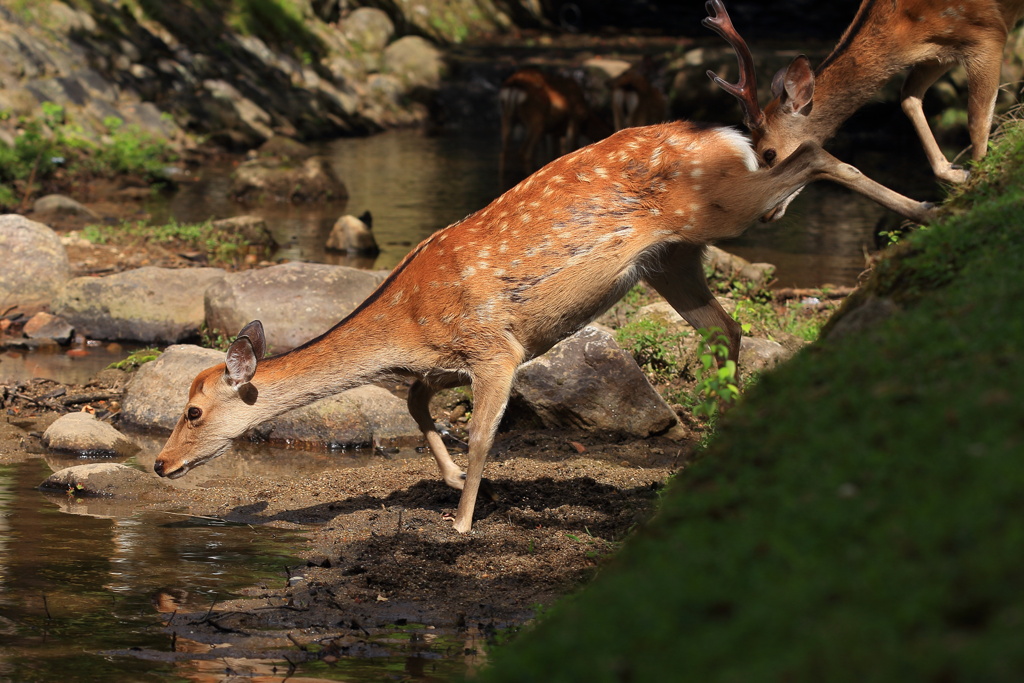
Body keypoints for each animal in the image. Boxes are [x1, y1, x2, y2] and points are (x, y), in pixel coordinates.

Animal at [153, 1, 937, 532]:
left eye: (193, 411)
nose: (160, 464)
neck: (407, 319)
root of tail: (720, 130)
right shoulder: (447, 360)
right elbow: (415, 405)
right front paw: (448, 484)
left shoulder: (495, 346)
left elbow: (480, 431)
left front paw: (463, 519)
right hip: (672, 258)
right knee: (727, 326)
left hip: (722, 207)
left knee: (813, 155)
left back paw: (935, 199)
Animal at [716, 0, 1024, 181]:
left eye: (768, 153)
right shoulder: (938, 51)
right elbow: (908, 96)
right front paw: (955, 173)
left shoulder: (988, 32)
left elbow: (977, 120)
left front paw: (980, 181)